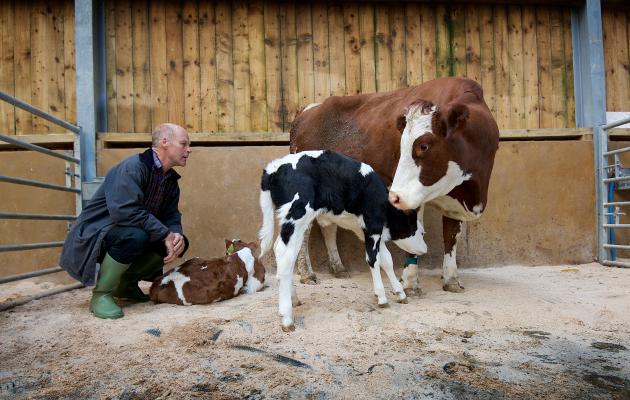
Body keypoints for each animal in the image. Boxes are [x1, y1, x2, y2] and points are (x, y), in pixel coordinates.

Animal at [258, 150, 430, 332]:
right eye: (420, 231)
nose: (425, 249)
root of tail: (273, 168)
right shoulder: (373, 225)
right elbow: (373, 260)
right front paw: (382, 297)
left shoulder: (366, 231)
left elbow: (386, 260)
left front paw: (399, 293)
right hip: (296, 216)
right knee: (286, 255)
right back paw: (287, 317)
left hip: (293, 223)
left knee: (280, 249)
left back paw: (294, 299)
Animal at [288, 76, 502, 292]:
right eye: (401, 146)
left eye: (424, 145)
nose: (392, 196)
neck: (470, 192)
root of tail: (308, 109)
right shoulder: (411, 197)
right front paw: (410, 283)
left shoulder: (454, 199)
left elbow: (451, 236)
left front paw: (451, 280)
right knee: (304, 229)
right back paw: (307, 273)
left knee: (328, 226)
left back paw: (338, 267)